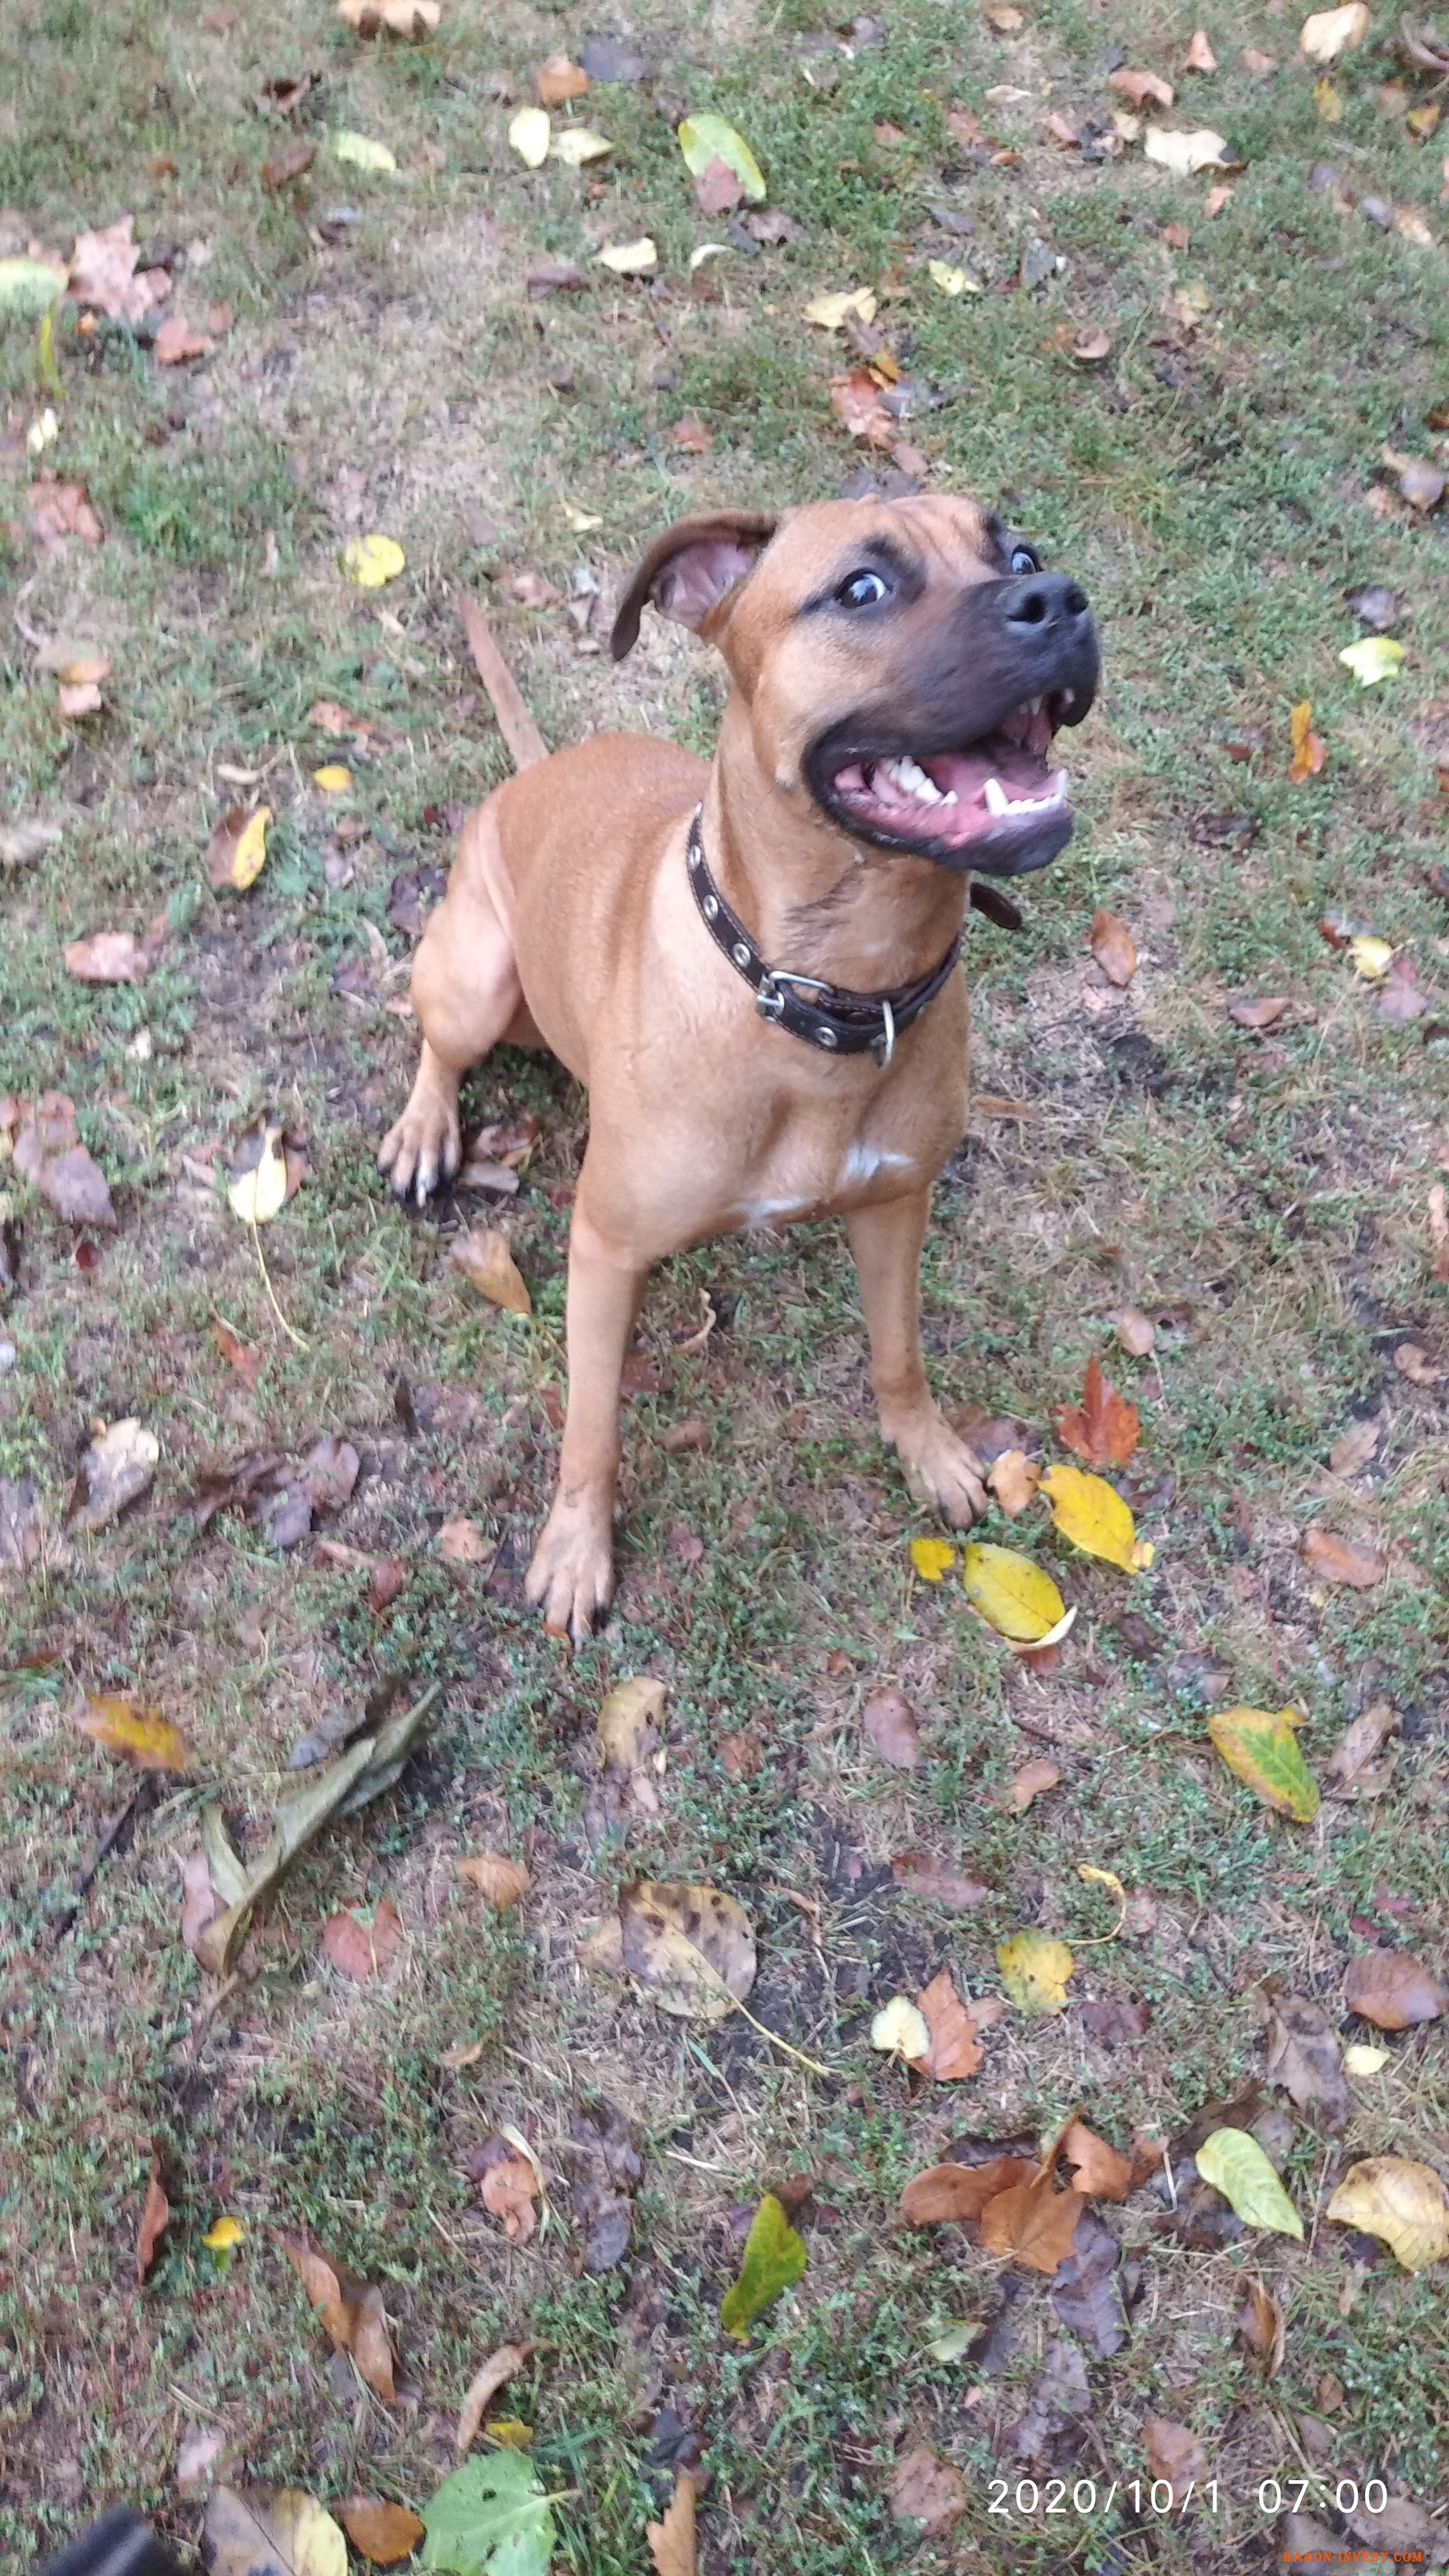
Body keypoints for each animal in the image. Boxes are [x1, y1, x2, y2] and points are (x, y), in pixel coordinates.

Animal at [380, 496, 1099, 1641]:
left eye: (1018, 551)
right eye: (861, 588)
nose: (1059, 598)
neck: (829, 995)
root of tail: (535, 770)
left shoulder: (895, 1203)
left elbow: (898, 1351)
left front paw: (930, 1450)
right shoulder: (604, 1250)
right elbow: (590, 1424)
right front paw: (575, 1550)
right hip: (478, 974)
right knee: (438, 1046)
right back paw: (422, 1128)